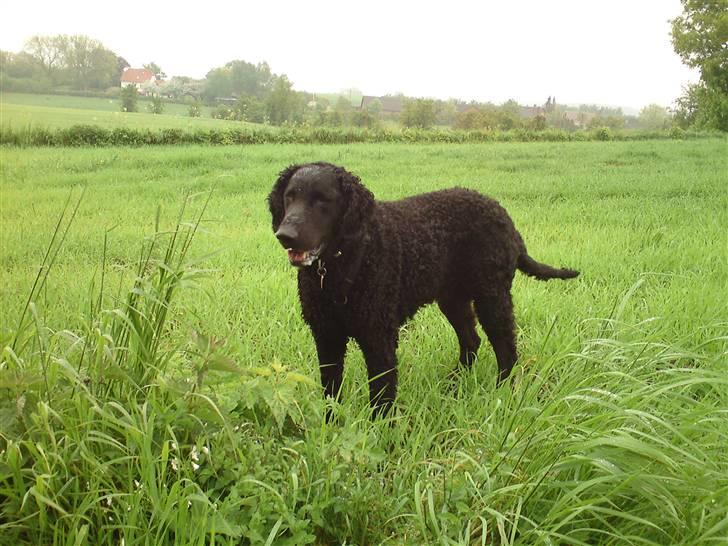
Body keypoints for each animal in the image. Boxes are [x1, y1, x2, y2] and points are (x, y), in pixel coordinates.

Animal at [264, 164, 576, 414]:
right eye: (290, 196)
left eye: (323, 200)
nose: (285, 235)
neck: (344, 263)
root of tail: (505, 217)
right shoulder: (326, 334)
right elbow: (331, 392)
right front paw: (330, 427)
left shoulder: (379, 337)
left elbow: (382, 395)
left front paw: (381, 436)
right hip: (453, 299)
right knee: (471, 340)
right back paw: (454, 384)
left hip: (492, 296)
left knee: (506, 349)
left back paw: (502, 393)